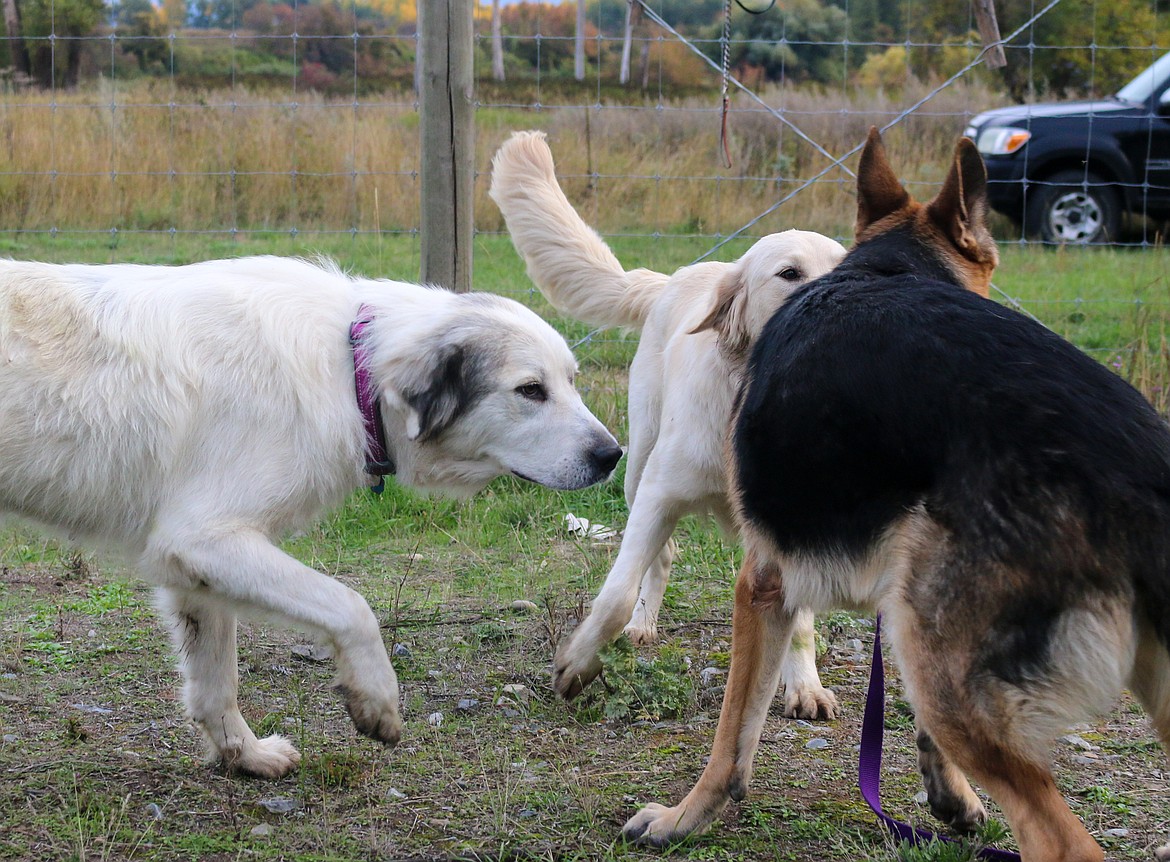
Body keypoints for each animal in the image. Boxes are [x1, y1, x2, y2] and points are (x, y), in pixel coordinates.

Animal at [491, 130, 842, 715]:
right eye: (789, 274)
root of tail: (673, 278)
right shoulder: (658, 494)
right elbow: (615, 593)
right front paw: (578, 663)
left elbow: (800, 622)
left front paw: (805, 686)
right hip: (637, 470)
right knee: (660, 558)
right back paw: (642, 624)